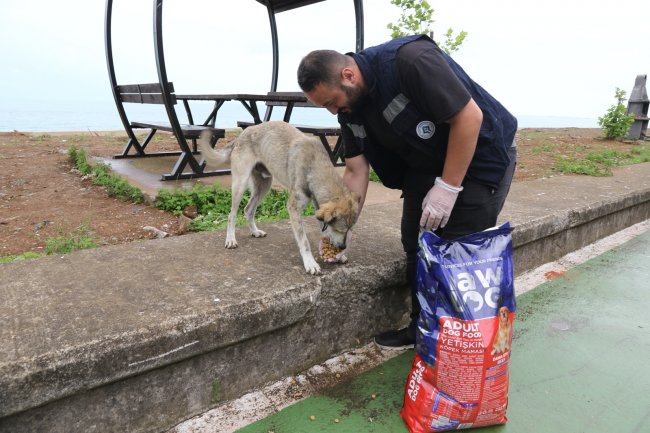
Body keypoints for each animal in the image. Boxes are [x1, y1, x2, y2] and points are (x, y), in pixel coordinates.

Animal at [199, 120, 360, 274]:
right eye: (340, 230)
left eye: (350, 229)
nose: (343, 246)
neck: (313, 165)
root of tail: (241, 135)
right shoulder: (293, 207)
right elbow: (304, 241)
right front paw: (310, 263)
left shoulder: (318, 206)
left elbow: (323, 229)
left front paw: (337, 255)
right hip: (240, 183)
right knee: (232, 214)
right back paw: (231, 239)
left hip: (264, 185)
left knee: (248, 209)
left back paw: (255, 231)